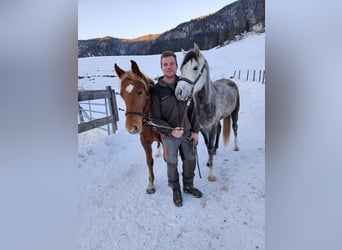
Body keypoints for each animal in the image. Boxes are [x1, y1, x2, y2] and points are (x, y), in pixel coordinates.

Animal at [115, 60, 160, 193]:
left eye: (140, 92)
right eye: (121, 95)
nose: (131, 127)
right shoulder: (144, 142)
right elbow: (149, 161)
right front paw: (151, 184)